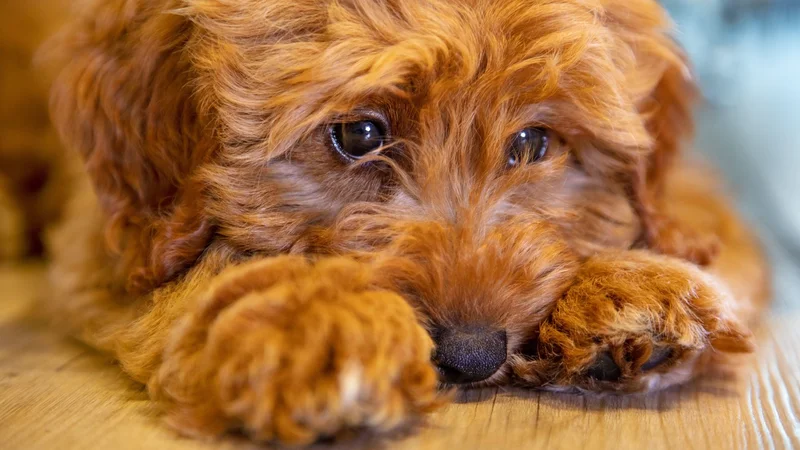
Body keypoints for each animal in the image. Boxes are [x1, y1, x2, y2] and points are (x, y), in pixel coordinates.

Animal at [3, 0, 772, 444]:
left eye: (532, 143)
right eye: (359, 134)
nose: (472, 355)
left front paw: (629, 290)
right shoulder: (111, 235)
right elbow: (200, 271)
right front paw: (318, 320)